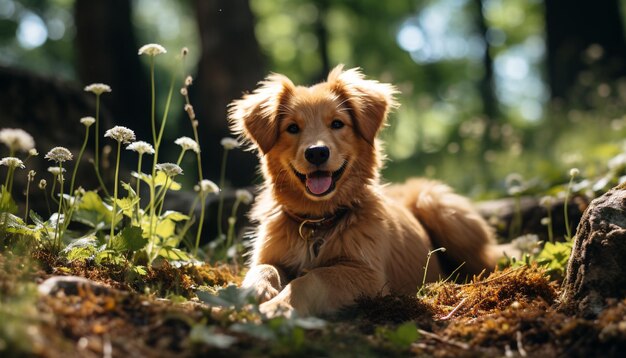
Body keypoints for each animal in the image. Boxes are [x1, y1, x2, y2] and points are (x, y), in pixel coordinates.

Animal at [227, 64, 500, 316]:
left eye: (337, 123)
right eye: (292, 128)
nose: (316, 152)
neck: (317, 222)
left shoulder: (368, 275)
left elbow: (312, 278)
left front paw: (276, 307)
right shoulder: (270, 256)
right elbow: (263, 269)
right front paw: (250, 294)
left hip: (435, 204)